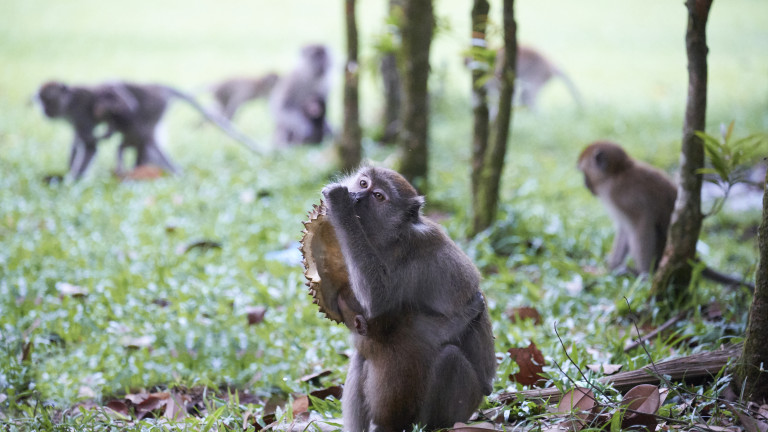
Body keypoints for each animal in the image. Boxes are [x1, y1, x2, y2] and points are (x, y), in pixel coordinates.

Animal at [37, 79, 260, 179]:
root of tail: (157, 87)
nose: (45, 112)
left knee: (145, 141)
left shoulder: (80, 114)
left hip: (151, 110)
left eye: (48, 100)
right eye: (42, 101)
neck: (69, 102)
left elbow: (90, 145)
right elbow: (79, 142)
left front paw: (71, 180)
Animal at [320, 166, 496, 432]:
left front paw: (340, 206)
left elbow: (377, 298)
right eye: (363, 183)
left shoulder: (409, 260)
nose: (356, 197)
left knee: (450, 359)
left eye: (378, 196)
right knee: (362, 357)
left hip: (465, 403)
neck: (392, 236)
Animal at [580, 143, 752, 290]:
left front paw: (643, 275)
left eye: (583, 172)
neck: (618, 172)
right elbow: (624, 228)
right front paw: (611, 268)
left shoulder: (620, 195)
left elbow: (642, 224)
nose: (585, 184)